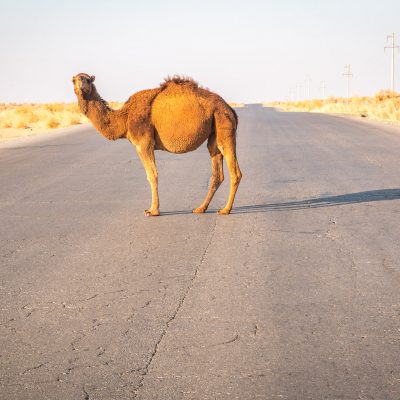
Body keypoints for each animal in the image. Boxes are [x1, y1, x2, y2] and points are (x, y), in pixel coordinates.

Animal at [71, 72, 241, 216]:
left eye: (87, 79)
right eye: (74, 79)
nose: (81, 83)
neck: (125, 117)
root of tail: (230, 109)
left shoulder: (143, 142)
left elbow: (152, 175)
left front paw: (153, 210)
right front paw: (153, 209)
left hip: (224, 125)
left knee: (235, 172)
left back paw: (225, 209)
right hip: (214, 133)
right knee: (217, 171)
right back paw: (201, 208)